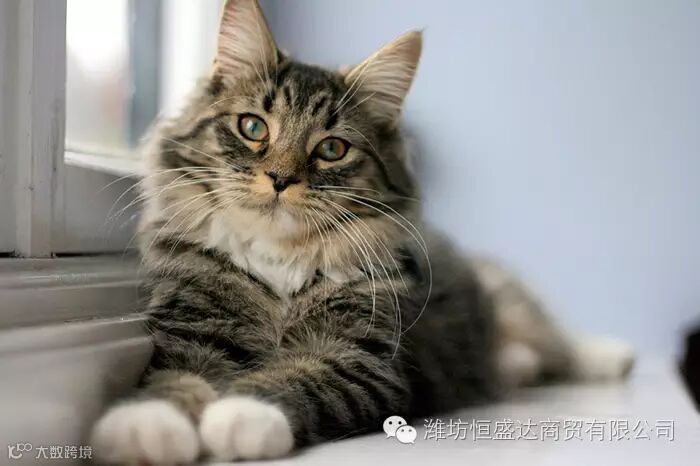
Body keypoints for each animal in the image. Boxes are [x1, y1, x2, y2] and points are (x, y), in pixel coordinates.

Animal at [91, 0, 634, 463]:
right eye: (253, 127)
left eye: (332, 149)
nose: (281, 179)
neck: (278, 259)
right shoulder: (192, 327)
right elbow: (170, 379)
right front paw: (144, 427)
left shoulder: (362, 358)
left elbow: (295, 381)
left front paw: (239, 416)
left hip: (515, 304)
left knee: (560, 342)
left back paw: (611, 356)